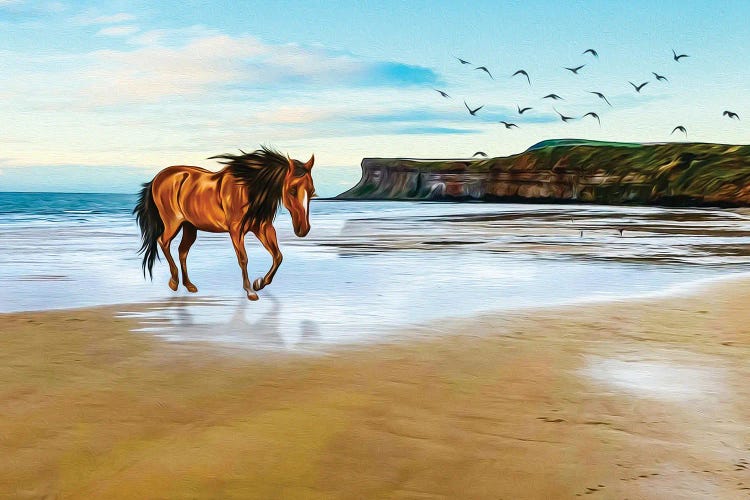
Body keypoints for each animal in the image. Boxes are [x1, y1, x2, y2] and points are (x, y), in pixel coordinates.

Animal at [134, 146, 316, 300]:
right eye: (292, 190)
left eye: (312, 191)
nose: (303, 229)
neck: (248, 188)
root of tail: (158, 178)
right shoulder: (236, 230)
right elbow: (243, 258)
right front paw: (250, 290)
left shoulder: (263, 228)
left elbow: (278, 256)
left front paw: (259, 283)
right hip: (173, 223)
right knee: (163, 242)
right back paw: (174, 282)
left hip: (189, 226)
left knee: (182, 251)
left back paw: (189, 285)